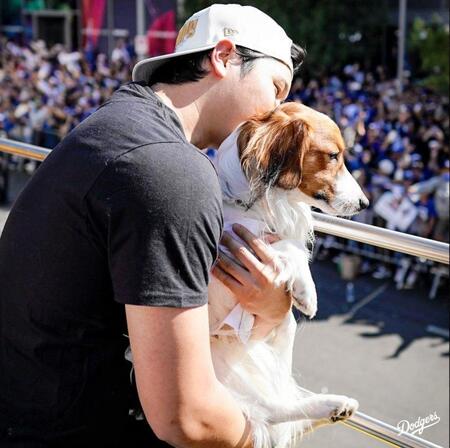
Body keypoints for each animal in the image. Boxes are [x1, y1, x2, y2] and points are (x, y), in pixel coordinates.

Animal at [207, 101, 370, 448]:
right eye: (333, 155)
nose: (365, 203)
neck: (252, 202)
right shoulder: (225, 250)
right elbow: (289, 246)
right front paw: (308, 293)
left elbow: (289, 245)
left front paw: (304, 289)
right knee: (268, 412)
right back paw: (330, 406)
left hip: (278, 332)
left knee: (275, 406)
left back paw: (334, 407)